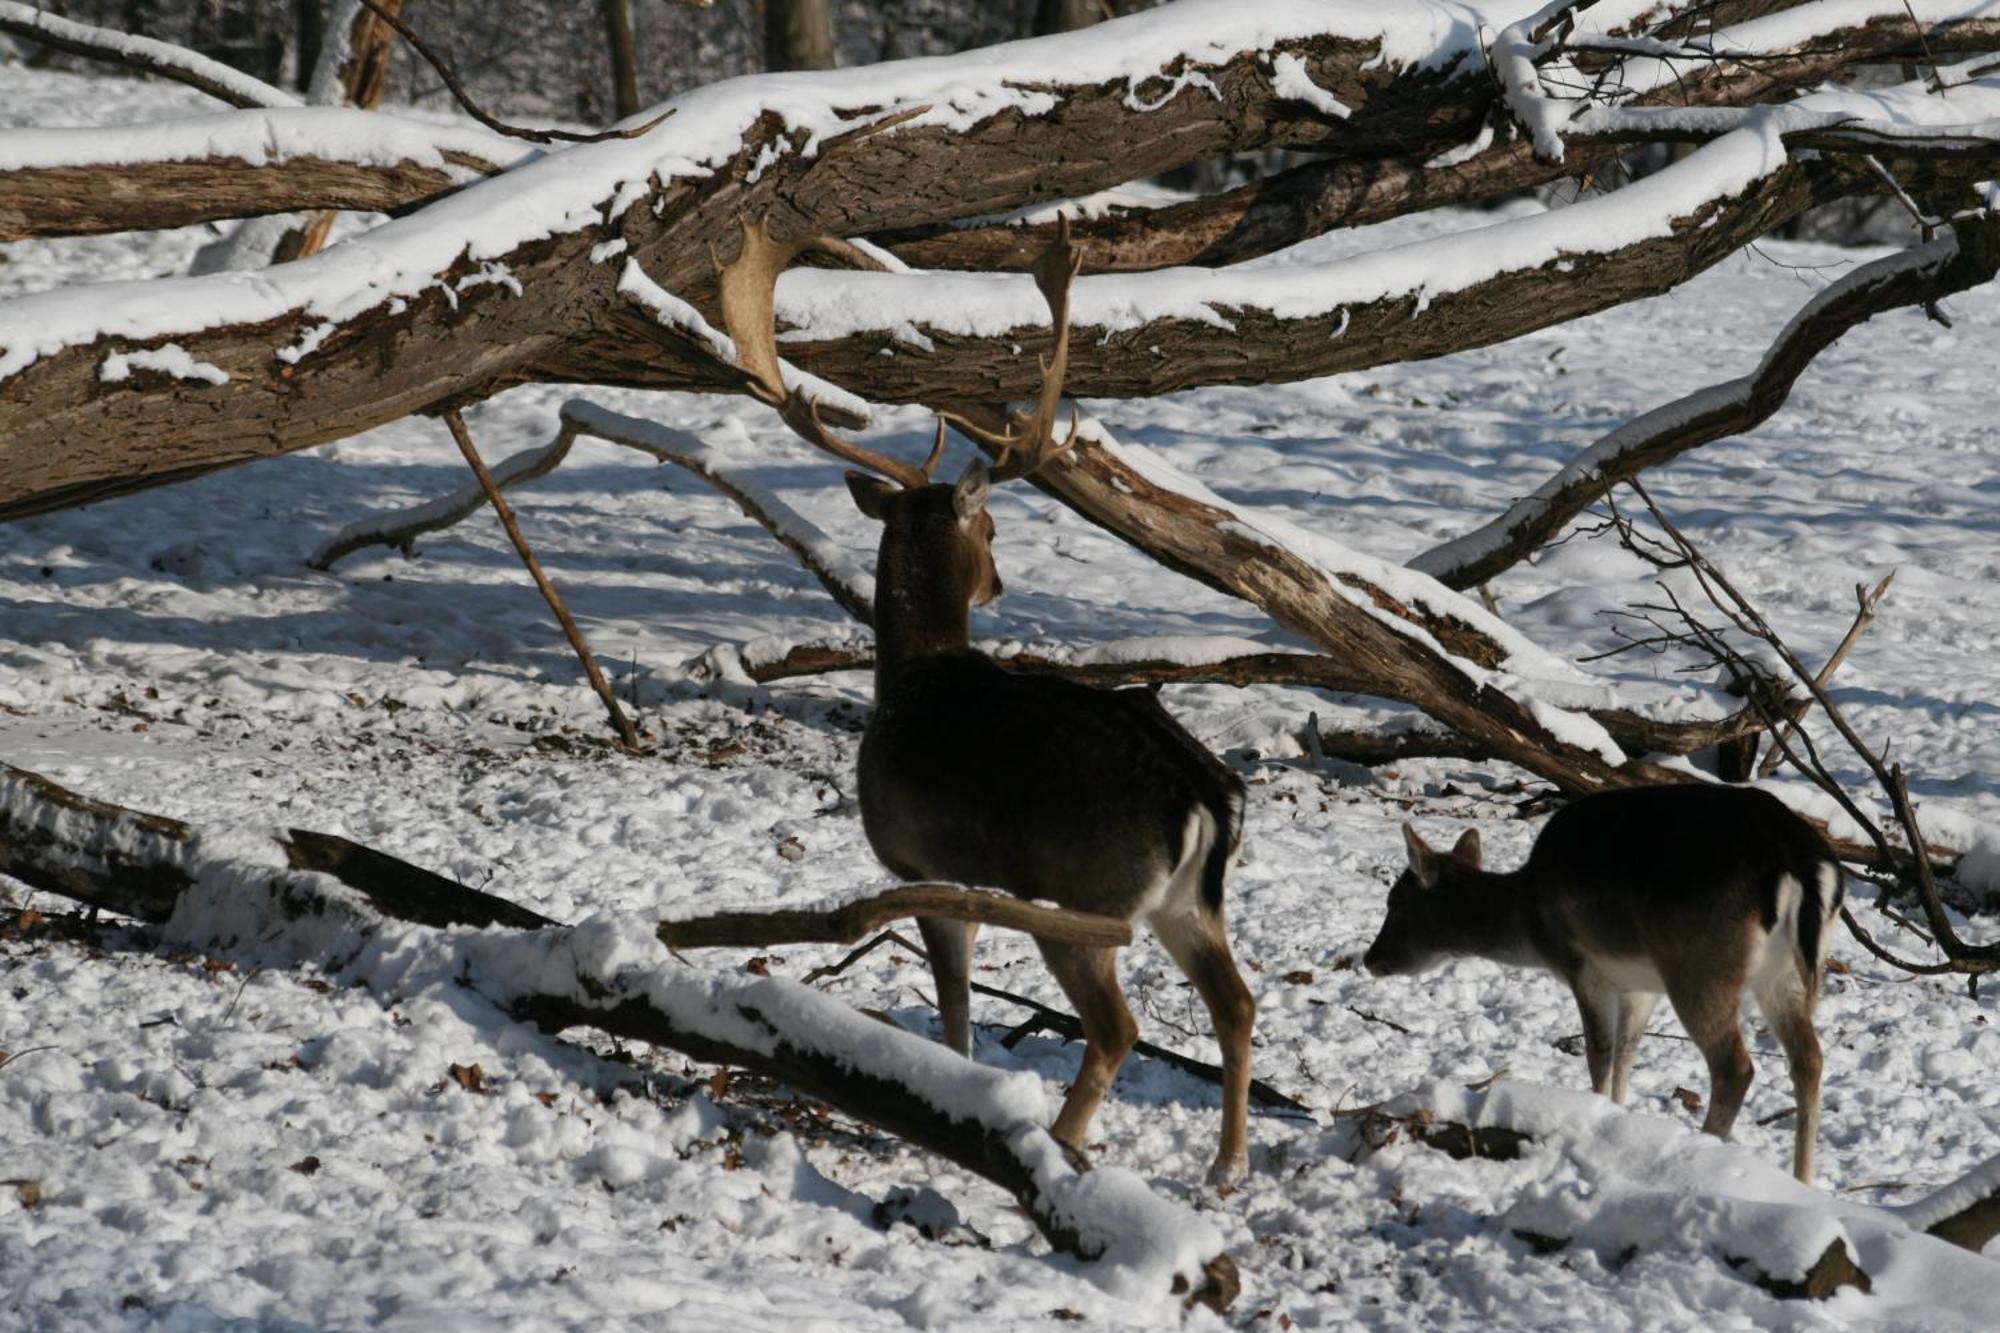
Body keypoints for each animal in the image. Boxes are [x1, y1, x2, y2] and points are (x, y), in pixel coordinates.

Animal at [1360, 784, 1840, 1176]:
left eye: (1395, 902)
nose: (1370, 958)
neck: (1530, 924)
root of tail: (1799, 860)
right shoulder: (1640, 984)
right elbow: (1625, 1057)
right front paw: (1617, 1119)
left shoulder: (1583, 965)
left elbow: (1598, 1055)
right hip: (1786, 976)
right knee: (1809, 1059)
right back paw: (1805, 1181)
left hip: (1700, 968)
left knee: (1735, 1067)